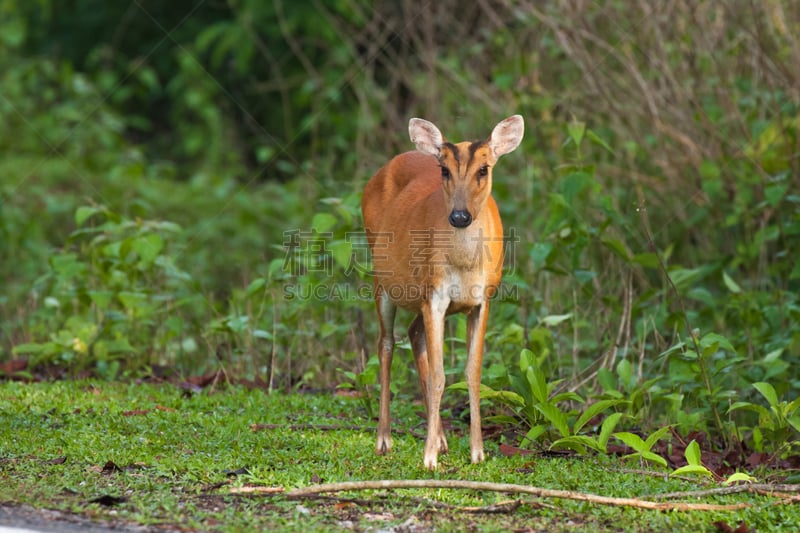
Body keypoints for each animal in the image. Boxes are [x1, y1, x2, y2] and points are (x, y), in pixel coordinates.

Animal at [362, 114, 524, 468]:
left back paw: (442, 439)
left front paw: (477, 452)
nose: (460, 216)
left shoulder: (482, 299)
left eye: (484, 169)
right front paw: (428, 459)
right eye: (445, 170)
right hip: (382, 279)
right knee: (386, 344)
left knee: (413, 334)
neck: (464, 265)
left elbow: (473, 373)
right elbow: (439, 376)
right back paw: (384, 439)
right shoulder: (434, 294)